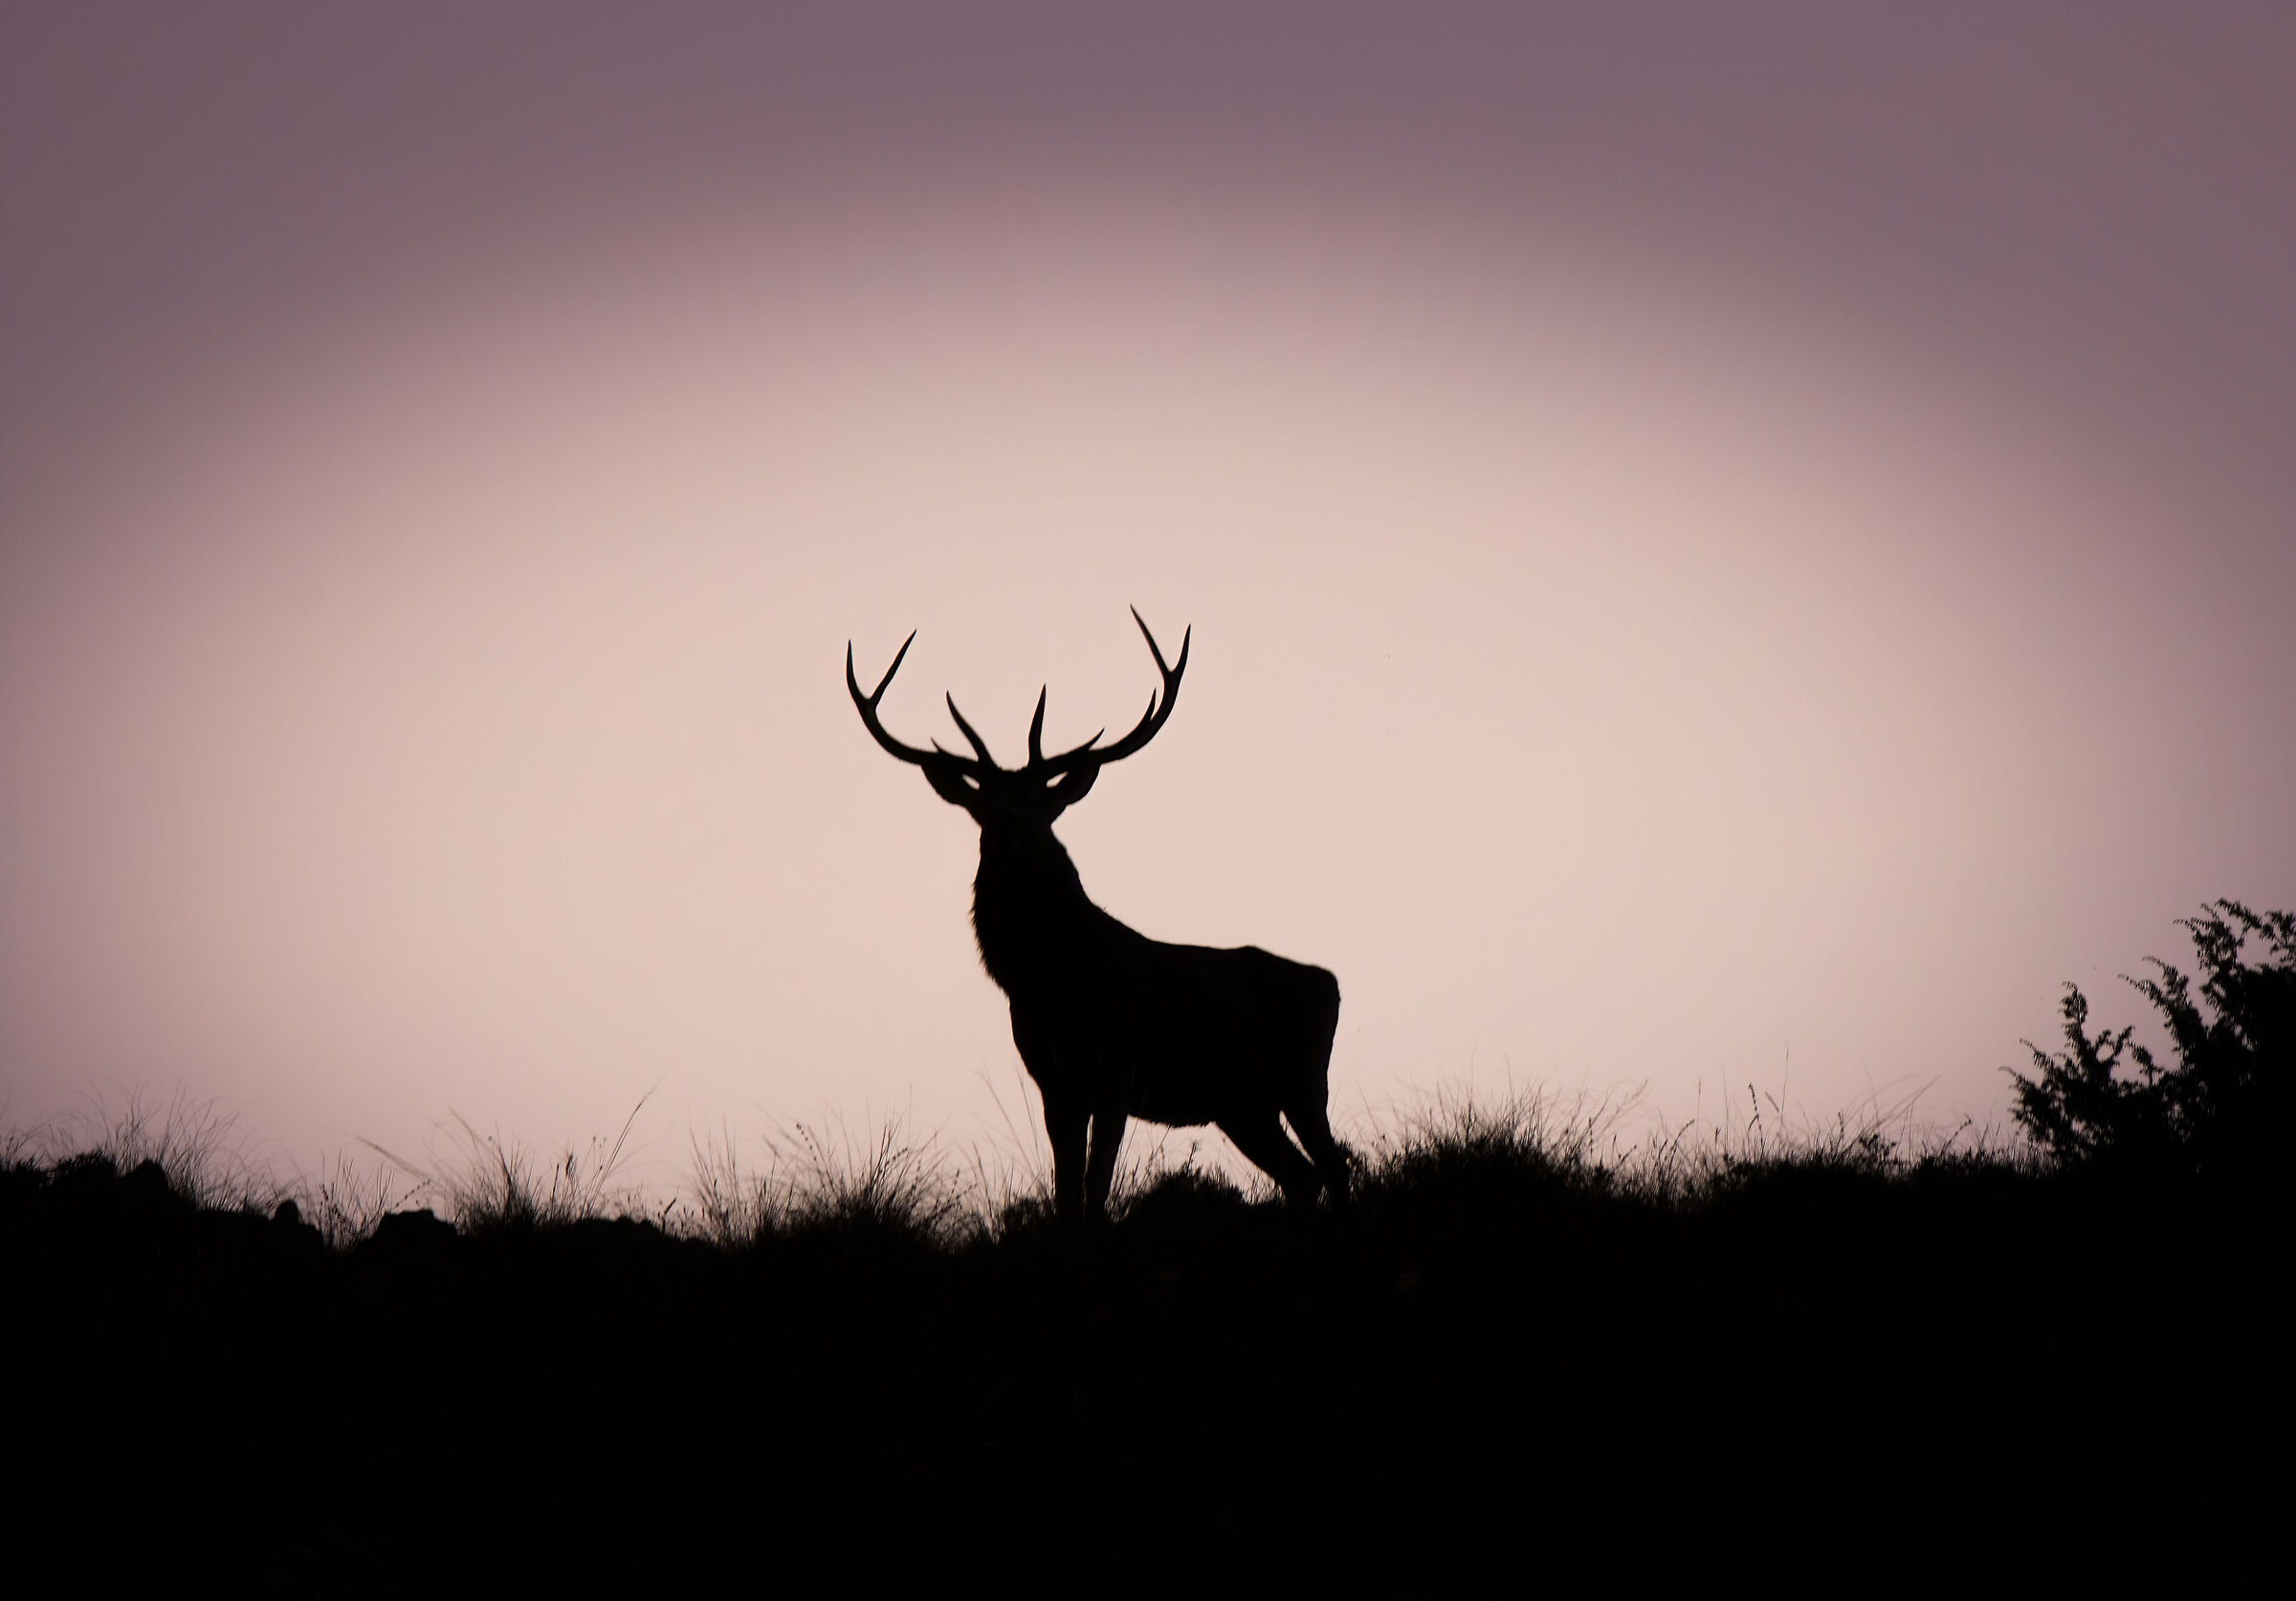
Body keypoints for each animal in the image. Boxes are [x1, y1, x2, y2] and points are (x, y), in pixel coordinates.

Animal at [846, 608, 1349, 1222]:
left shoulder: (1117, 1075)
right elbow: (1066, 1189)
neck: (1050, 978)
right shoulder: (1053, 1079)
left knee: (1335, 1164)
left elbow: (1096, 1185)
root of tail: (1329, 982)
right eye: (982, 804)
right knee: (1302, 1175)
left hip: (1302, 1079)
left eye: (1041, 803)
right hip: (1243, 1104)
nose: (1007, 829)